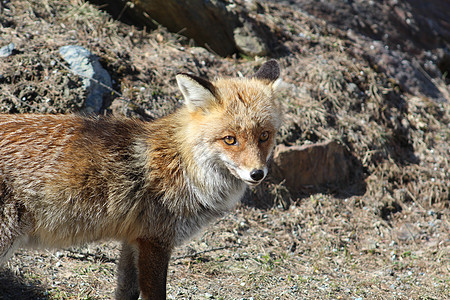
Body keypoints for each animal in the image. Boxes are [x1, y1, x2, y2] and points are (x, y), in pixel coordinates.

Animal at [0, 59, 282, 298]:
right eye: (229, 139)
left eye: (264, 136)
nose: (257, 173)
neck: (182, 162)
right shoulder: (154, 242)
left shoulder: (133, 239)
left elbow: (125, 291)